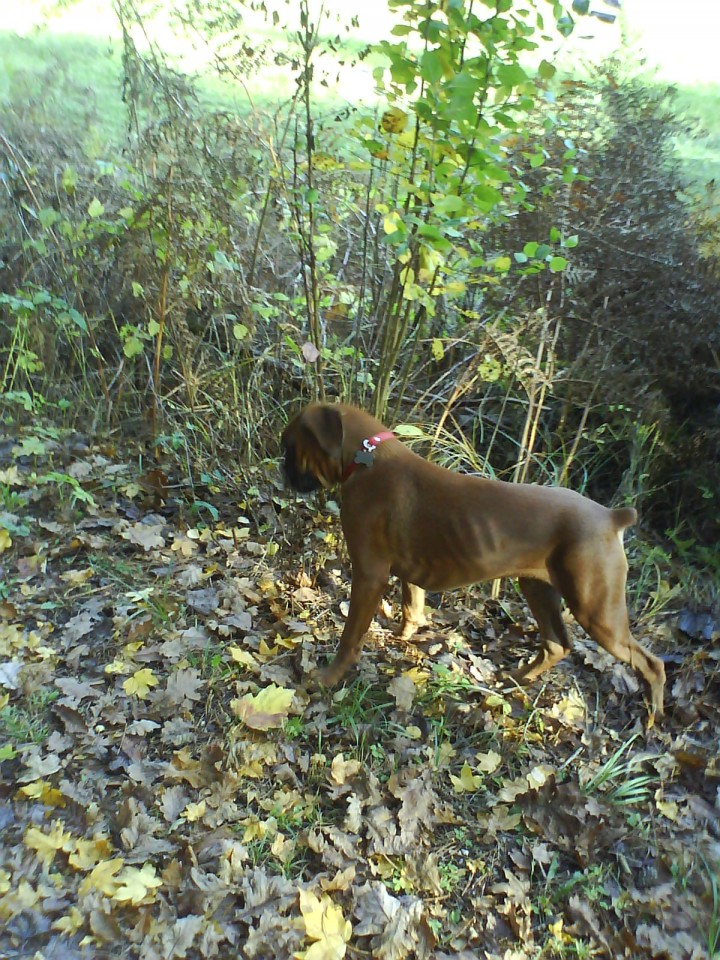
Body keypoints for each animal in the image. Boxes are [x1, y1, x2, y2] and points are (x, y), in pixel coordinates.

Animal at [280, 402, 664, 716]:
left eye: (290, 448)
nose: (282, 474)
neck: (366, 455)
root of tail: (612, 516)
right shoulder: (406, 573)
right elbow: (411, 605)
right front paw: (404, 635)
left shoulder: (369, 575)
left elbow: (350, 638)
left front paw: (327, 678)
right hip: (539, 589)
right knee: (557, 645)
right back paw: (515, 679)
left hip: (596, 610)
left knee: (651, 663)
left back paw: (652, 716)